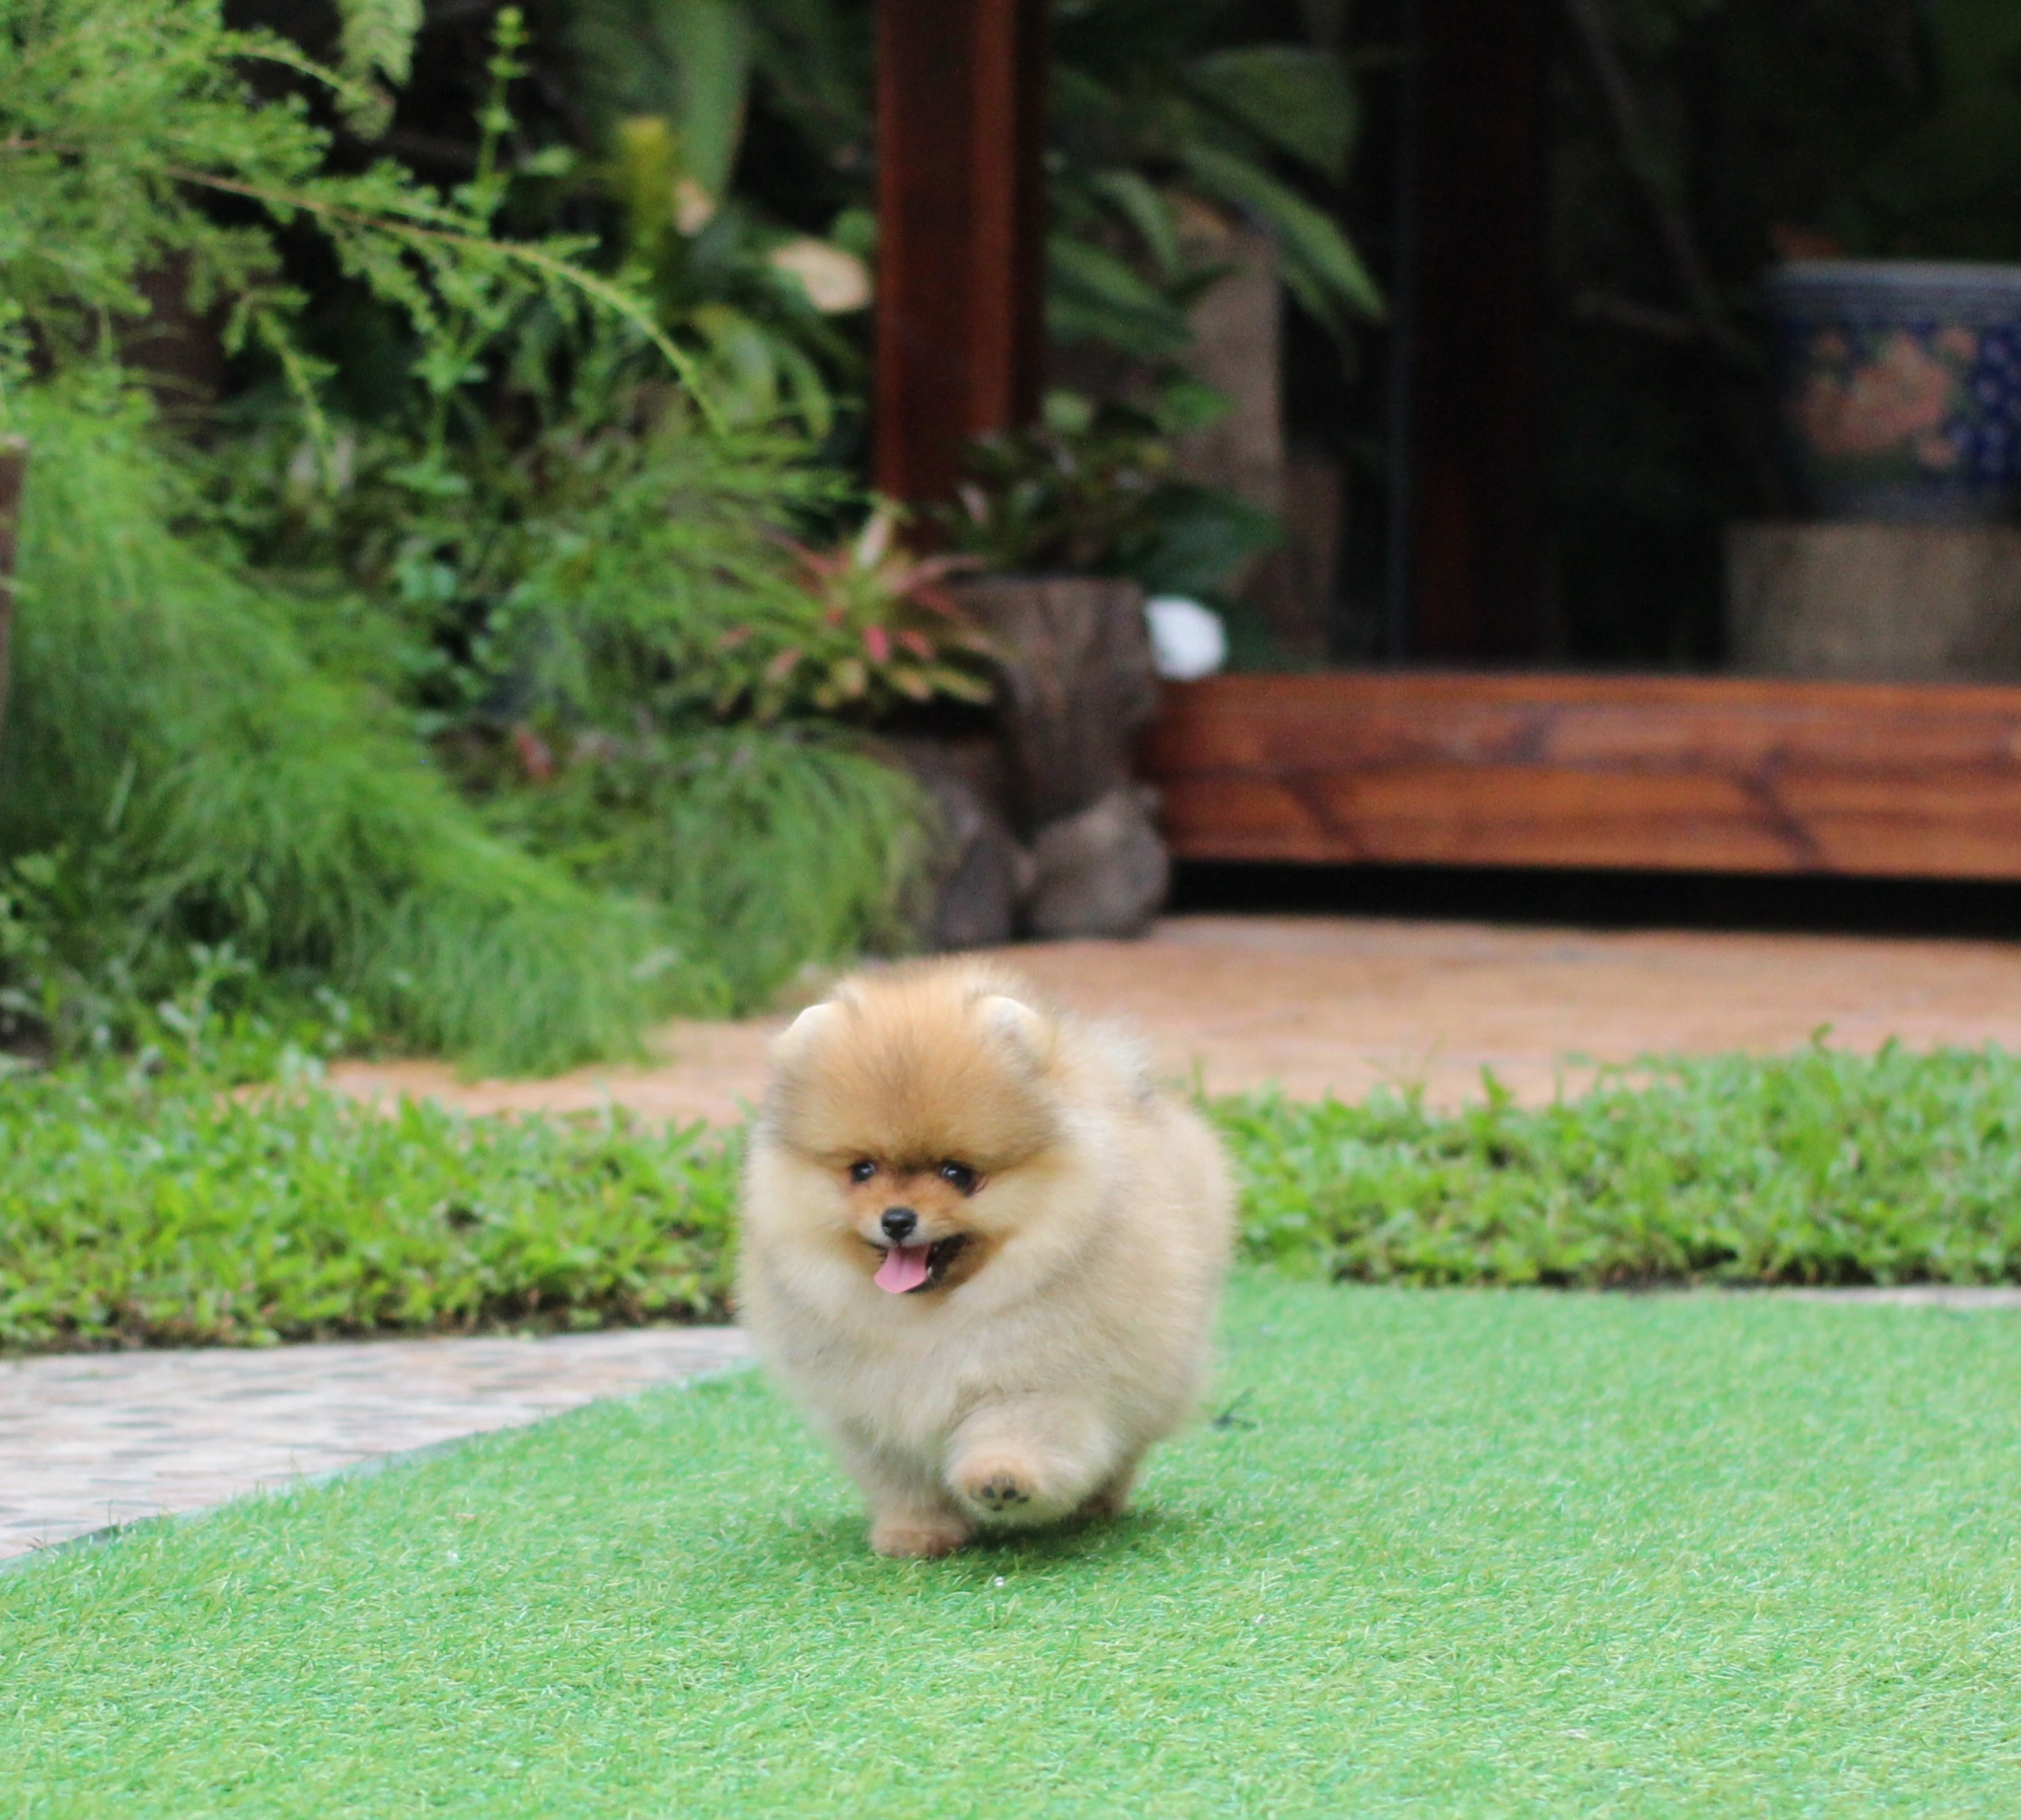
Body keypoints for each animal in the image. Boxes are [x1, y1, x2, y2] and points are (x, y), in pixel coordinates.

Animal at [738, 958, 1234, 1558]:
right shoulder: (871, 1414)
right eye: (862, 1171)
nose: (897, 1218)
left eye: (958, 1173)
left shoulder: (1043, 1376)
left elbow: (1020, 1427)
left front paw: (1002, 1478)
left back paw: (1096, 1505)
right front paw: (916, 1534)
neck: (928, 1321)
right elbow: (903, 1480)